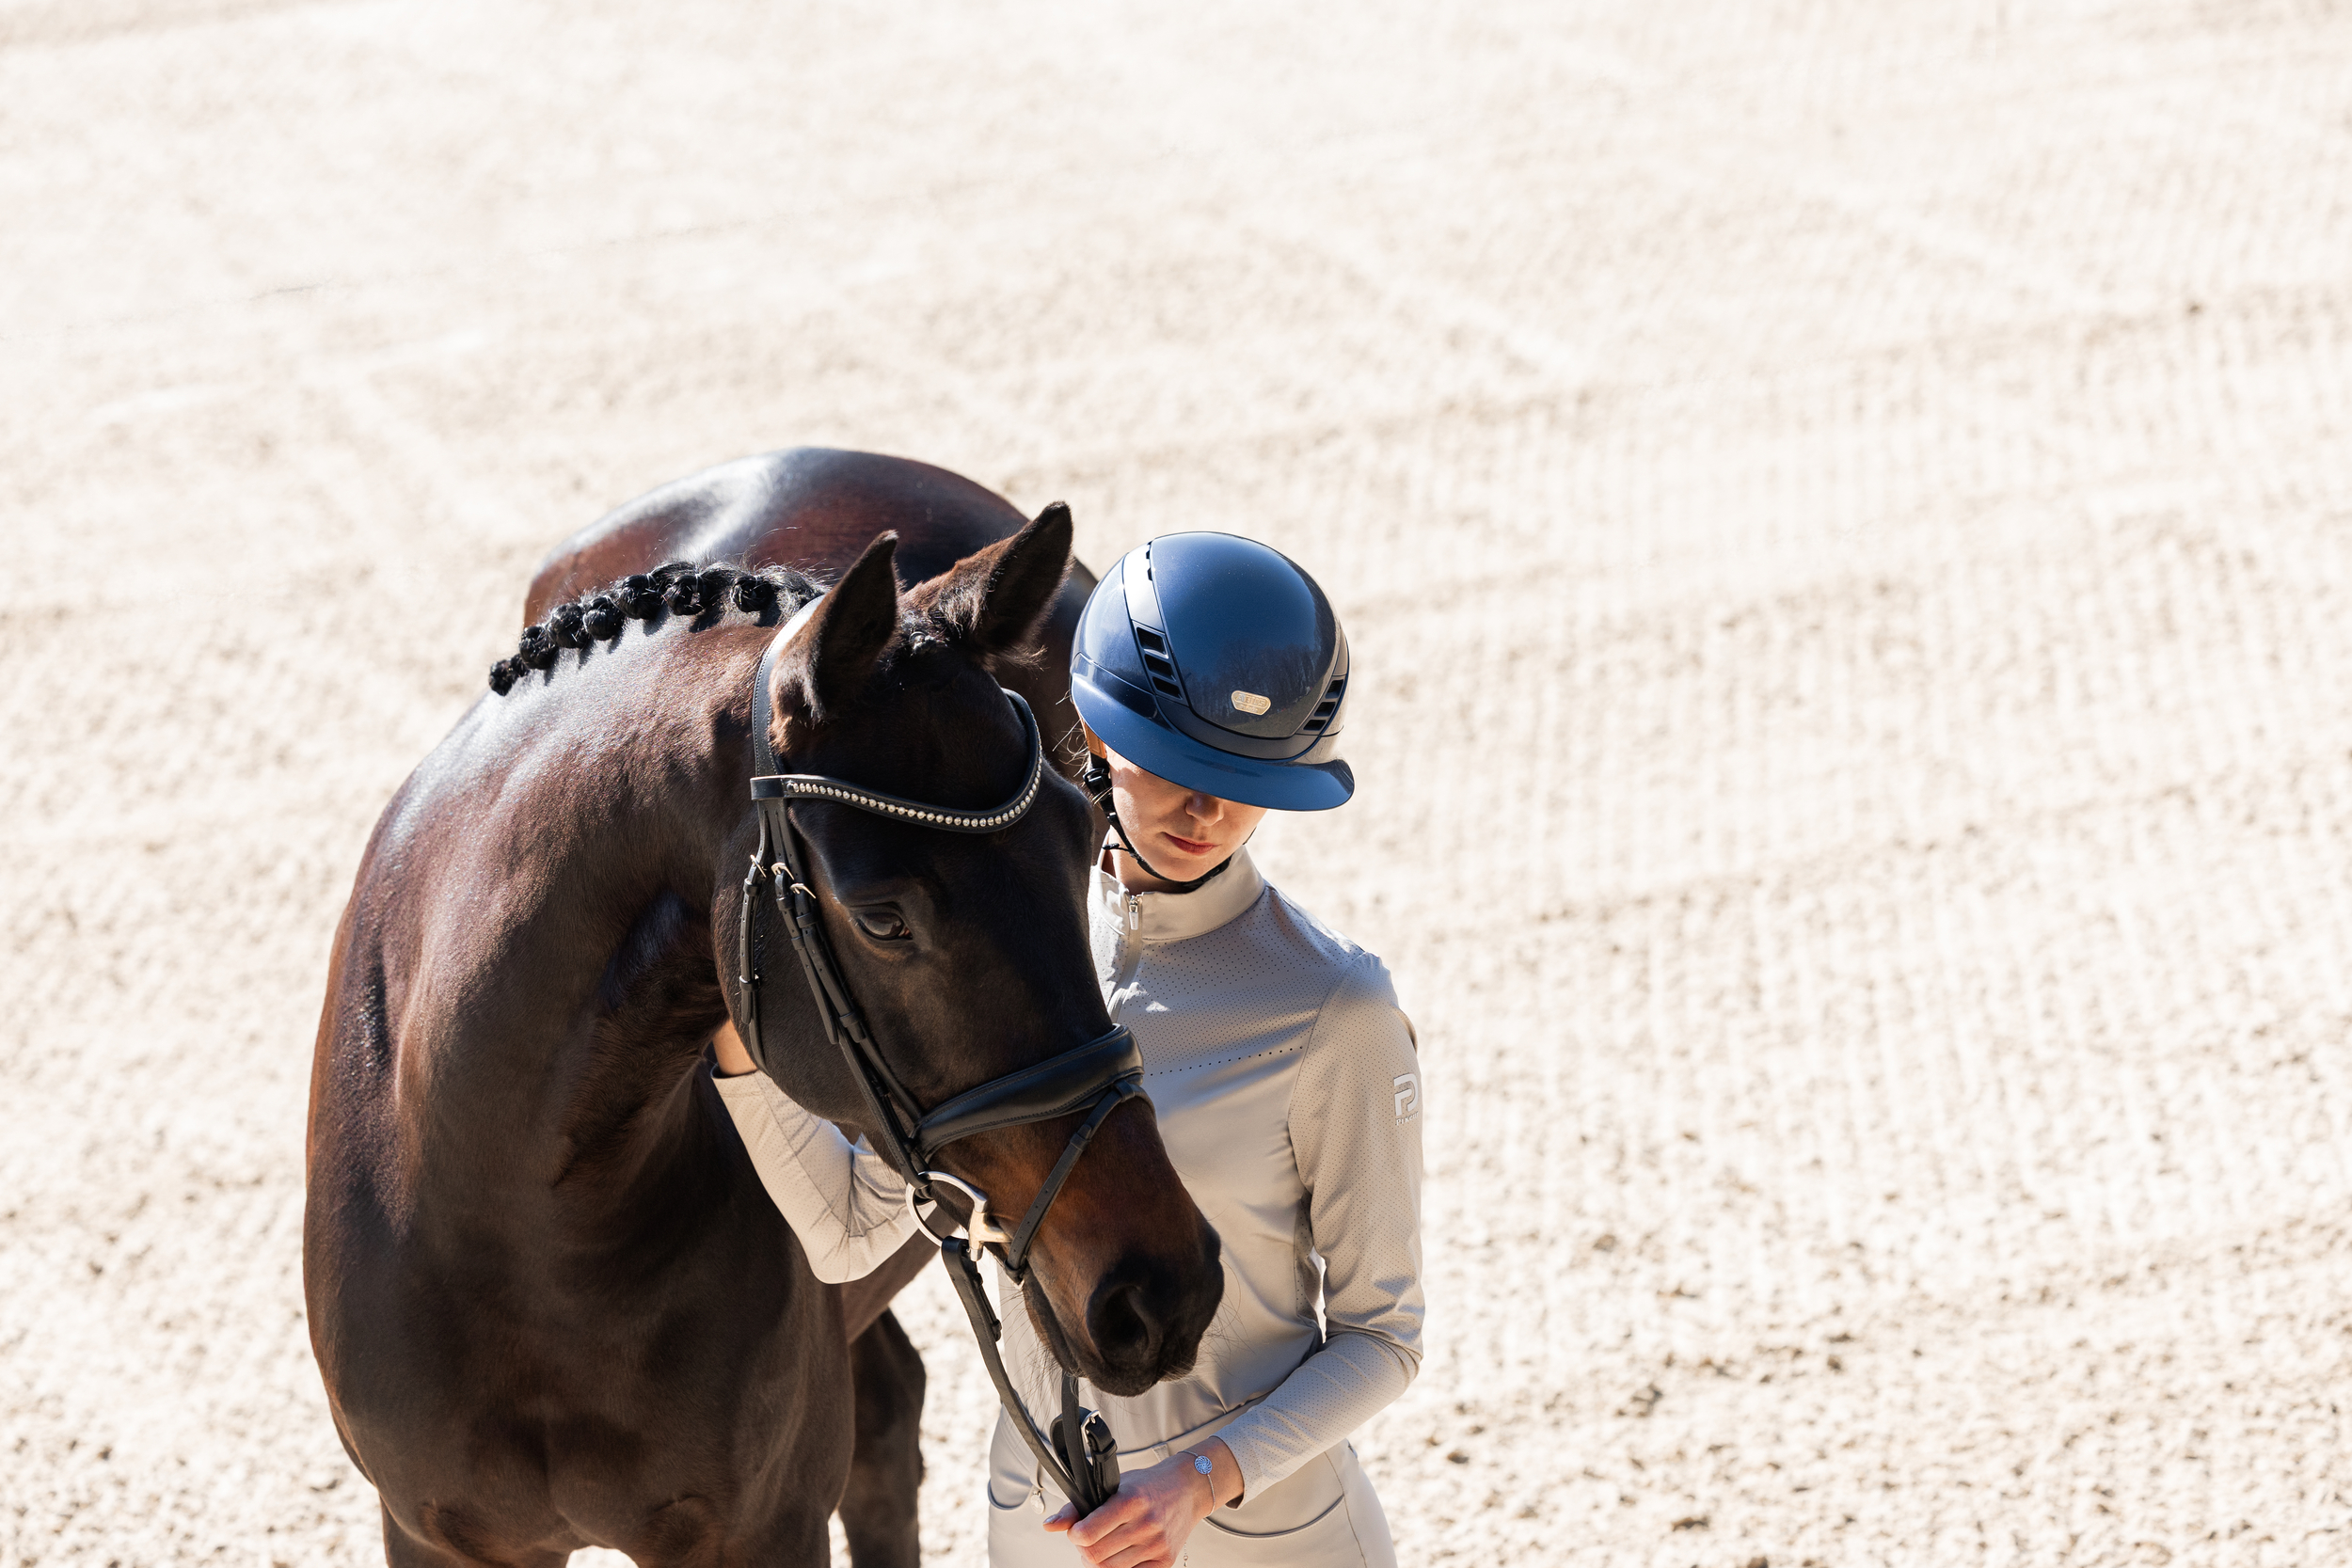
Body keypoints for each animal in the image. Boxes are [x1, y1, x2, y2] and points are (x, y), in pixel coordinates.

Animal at [304, 451, 1224, 1567]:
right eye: (881, 918)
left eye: (1083, 834)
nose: (1164, 1290)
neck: (515, 1225)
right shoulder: (438, 1534)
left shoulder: (758, 1526)